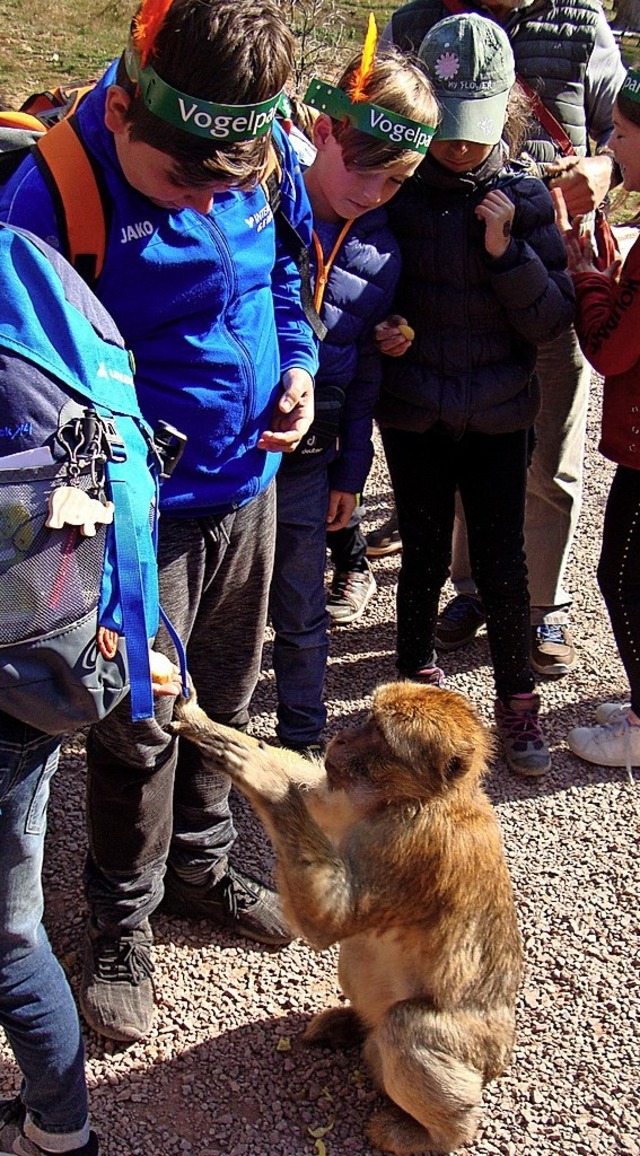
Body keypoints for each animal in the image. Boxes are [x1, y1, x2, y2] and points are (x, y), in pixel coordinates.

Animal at [172, 679, 519, 1151]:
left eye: (380, 736)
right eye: (368, 718)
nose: (341, 738)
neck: (412, 800)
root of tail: (500, 1058)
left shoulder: (411, 848)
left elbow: (329, 921)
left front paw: (262, 778)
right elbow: (312, 793)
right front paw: (203, 723)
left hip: (474, 1052)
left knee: (406, 1027)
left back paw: (437, 1136)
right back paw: (353, 1024)